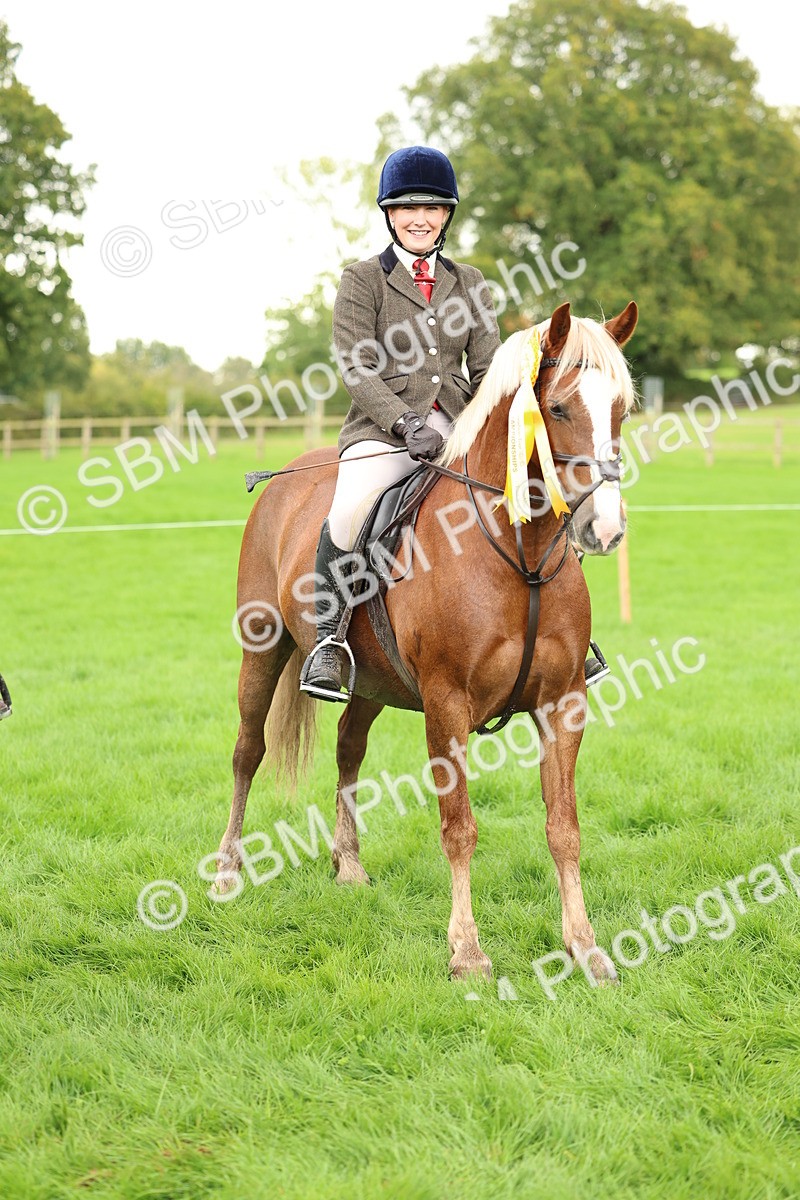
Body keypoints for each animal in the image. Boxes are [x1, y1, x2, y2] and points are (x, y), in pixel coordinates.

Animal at [216, 299, 638, 982]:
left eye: (622, 408)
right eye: (560, 409)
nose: (605, 529)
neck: (515, 552)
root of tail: (287, 477)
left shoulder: (563, 704)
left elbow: (564, 827)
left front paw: (585, 947)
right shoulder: (447, 706)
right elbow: (459, 828)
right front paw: (467, 952)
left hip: (369, 680)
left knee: (348, 748)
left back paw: (348, 864)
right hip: (263, 649)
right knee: (247, 752)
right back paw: (227, 871)